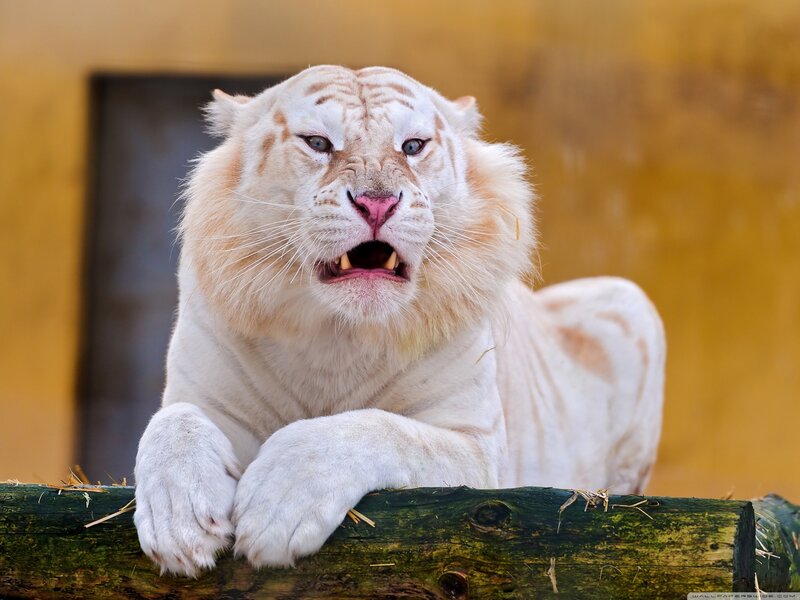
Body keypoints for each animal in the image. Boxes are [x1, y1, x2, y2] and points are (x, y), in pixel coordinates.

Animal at [133, 65, 666, 576]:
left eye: (412, 146)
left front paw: (275, 506)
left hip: (630, 301)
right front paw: (179, 524)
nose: (377, 203)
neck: (336, 334)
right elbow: (171, 423)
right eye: (318, 142)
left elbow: (380, 429)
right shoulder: (204, 396)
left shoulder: (477, 447)